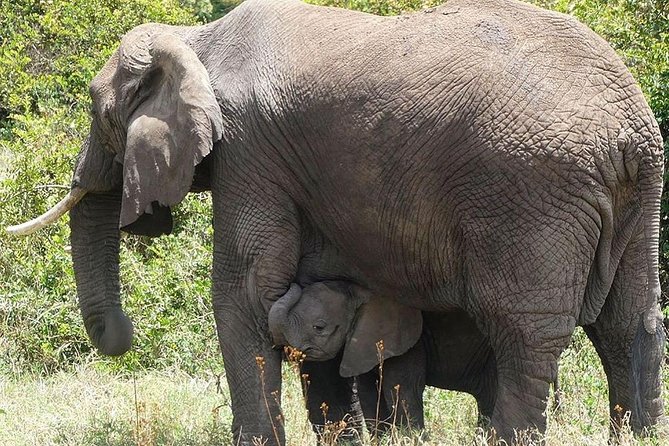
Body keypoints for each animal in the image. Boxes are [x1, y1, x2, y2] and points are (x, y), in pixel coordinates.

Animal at [8, 0, 665, 444]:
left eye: (101, 112)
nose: (125, 335)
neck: (198, 39)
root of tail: (630, 129)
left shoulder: (249, 151)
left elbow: (246, 289)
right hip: (636, 199)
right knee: (629, 320)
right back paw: (636, 435)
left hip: (530, 195)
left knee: (526, 332)